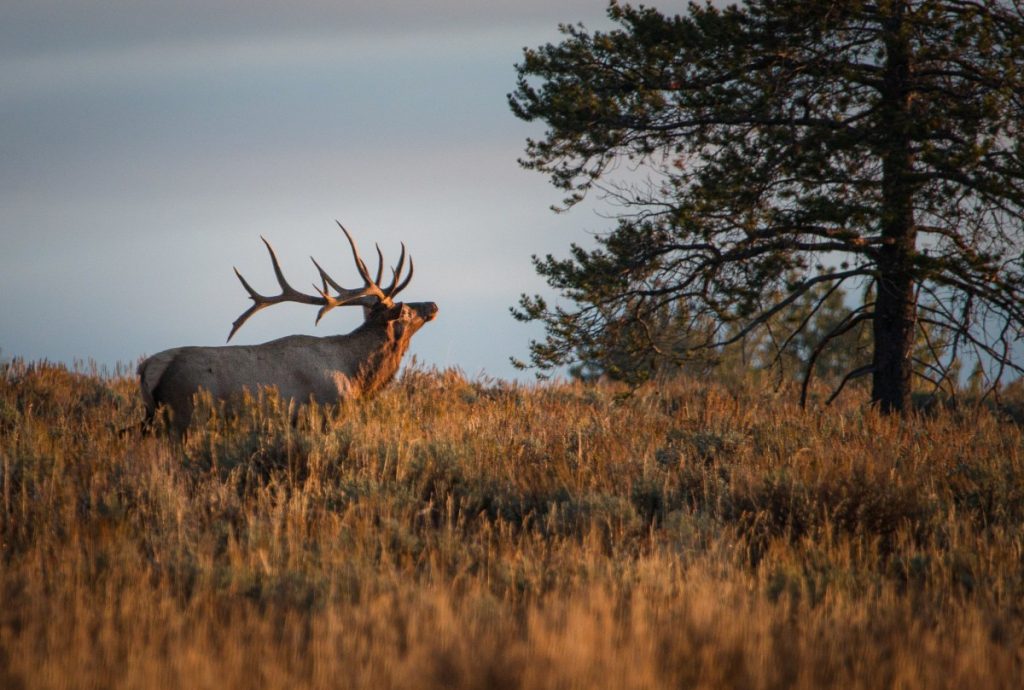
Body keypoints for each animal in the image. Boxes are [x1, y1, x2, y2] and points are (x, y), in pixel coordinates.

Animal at [137, 222, 438, 435]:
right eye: (406, 311)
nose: (432, 304)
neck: (356, 375)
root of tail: (148, 368)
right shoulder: (328, 411)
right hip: (186, 413)